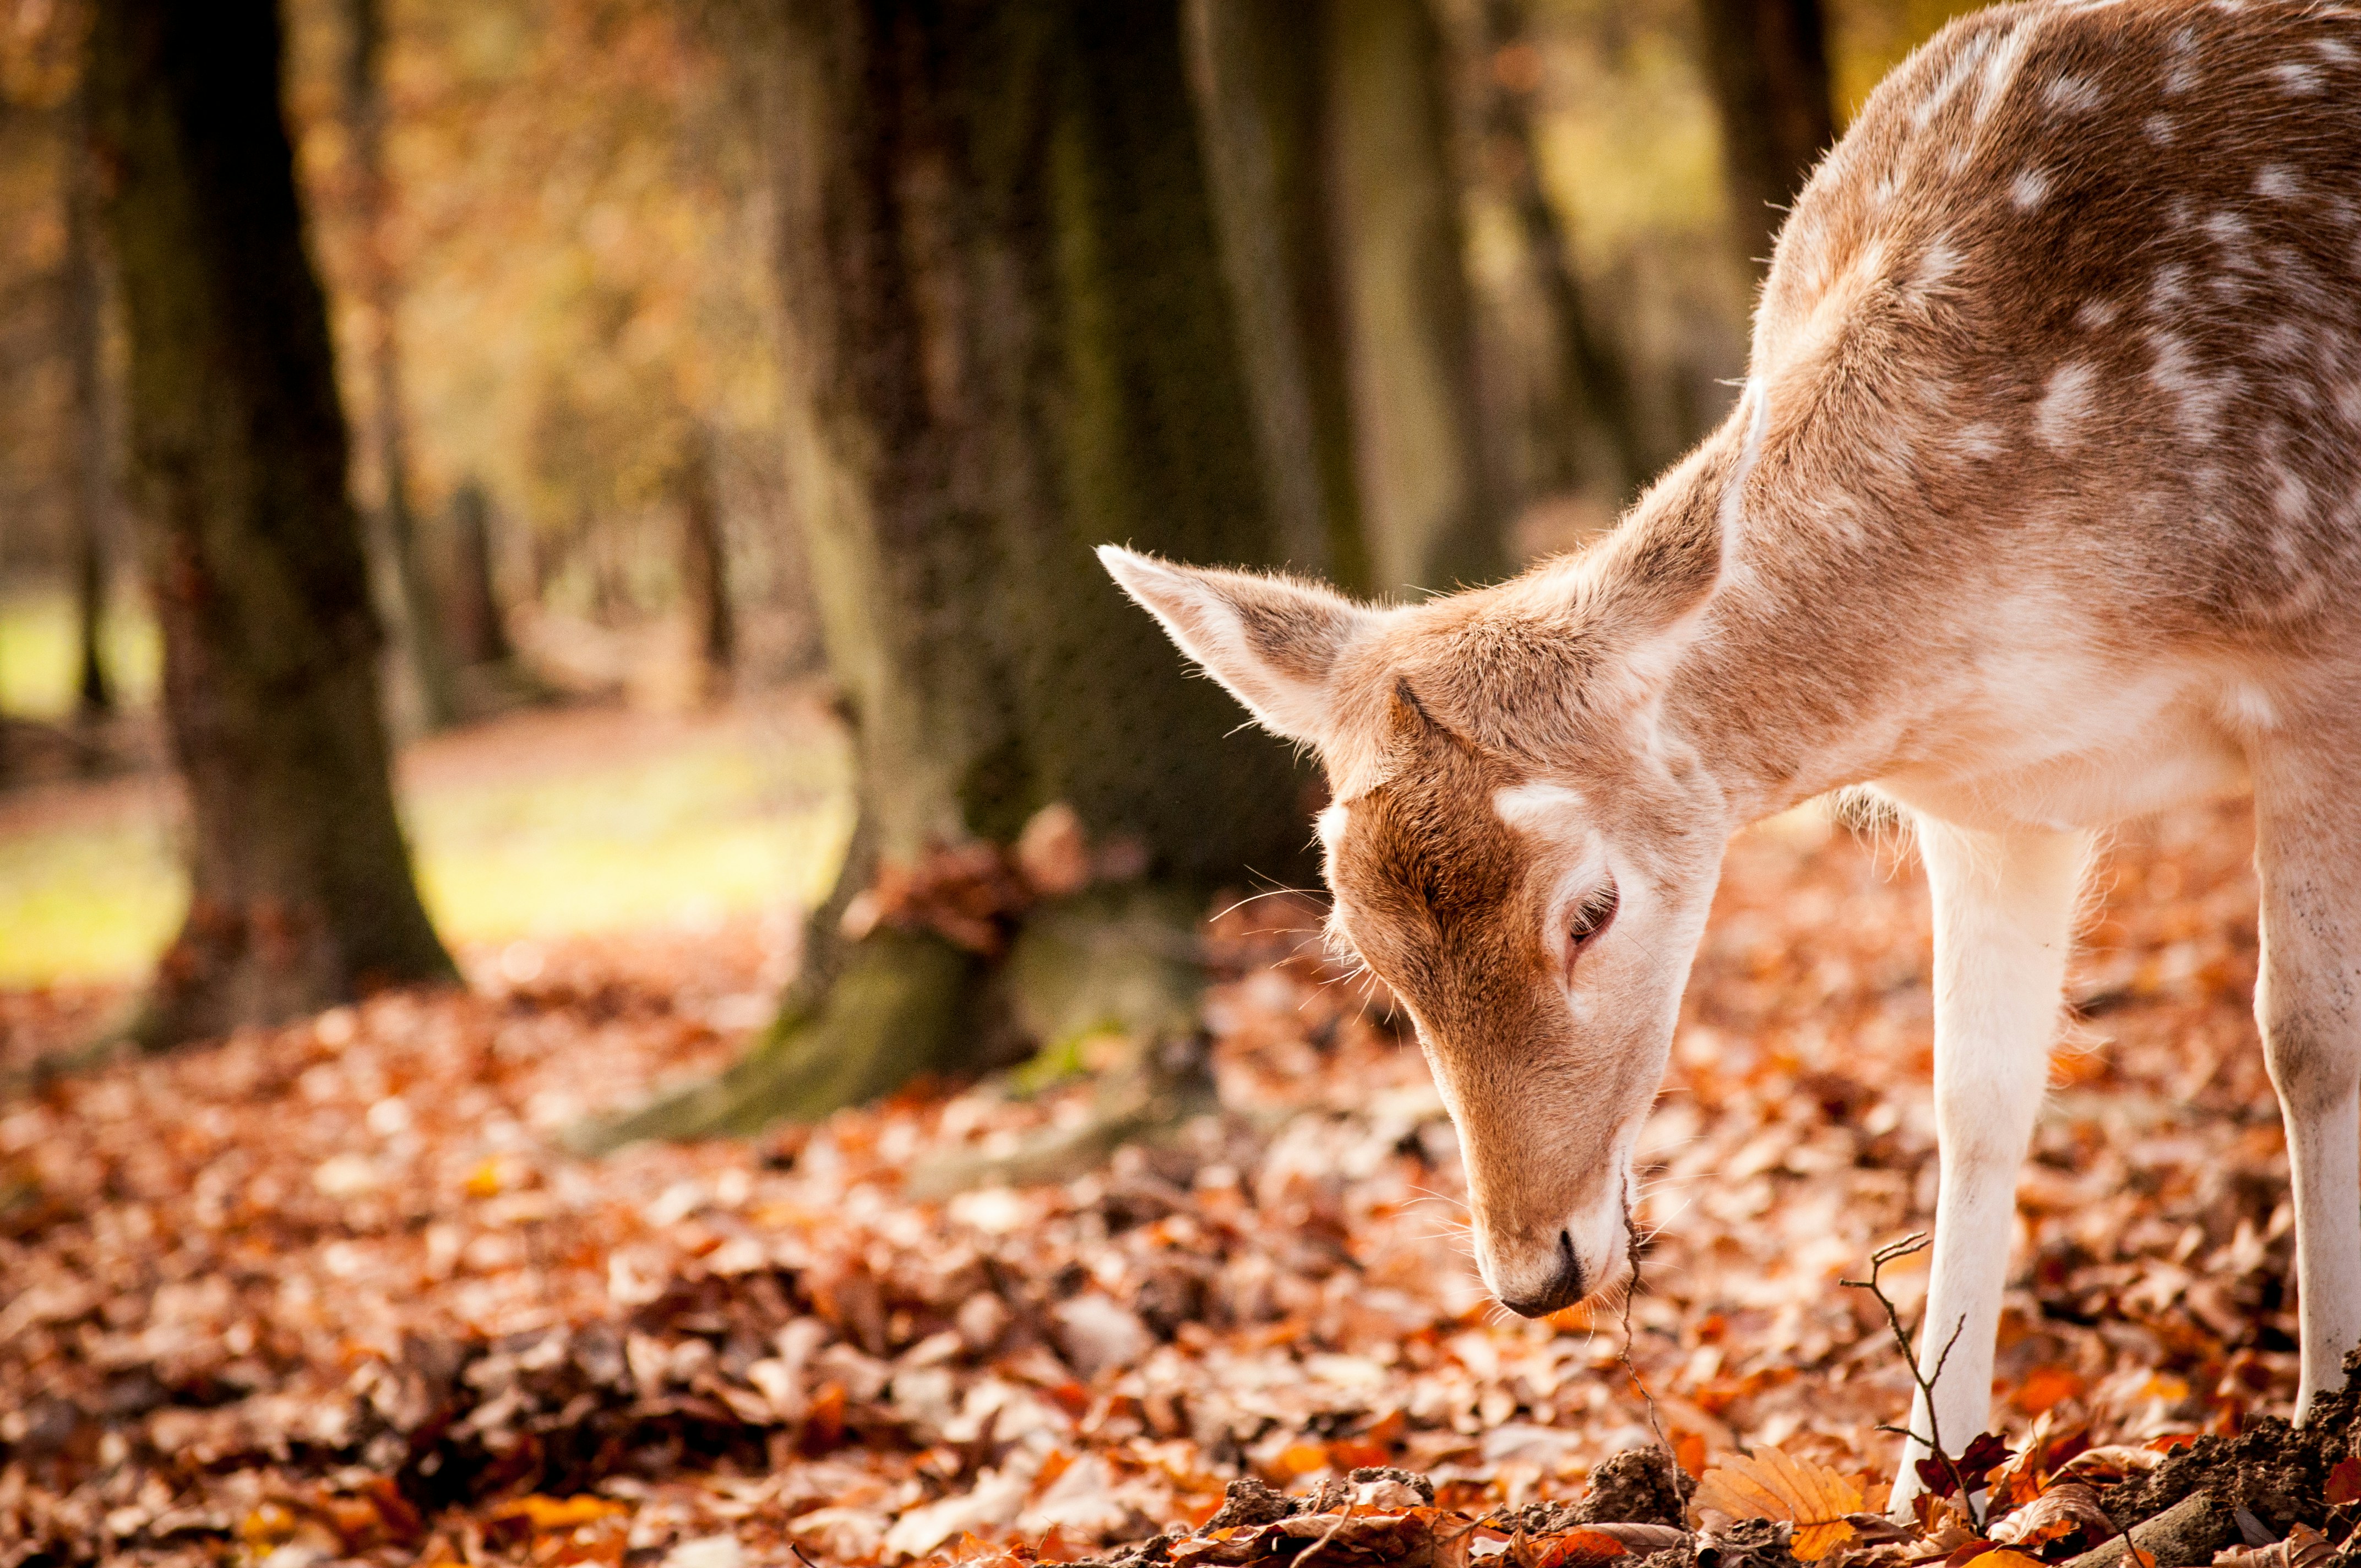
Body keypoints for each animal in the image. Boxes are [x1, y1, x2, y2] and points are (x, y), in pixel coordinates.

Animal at [1103, 0, 2361, 1506]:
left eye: (1590, 909)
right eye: (1366, 952)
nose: (1534, 1273)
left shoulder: (2316, 666)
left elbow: (2308, 1037)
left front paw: (2324, 1420)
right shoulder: (1995, 798)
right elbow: (1976, 1095)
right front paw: (1922, 1490)